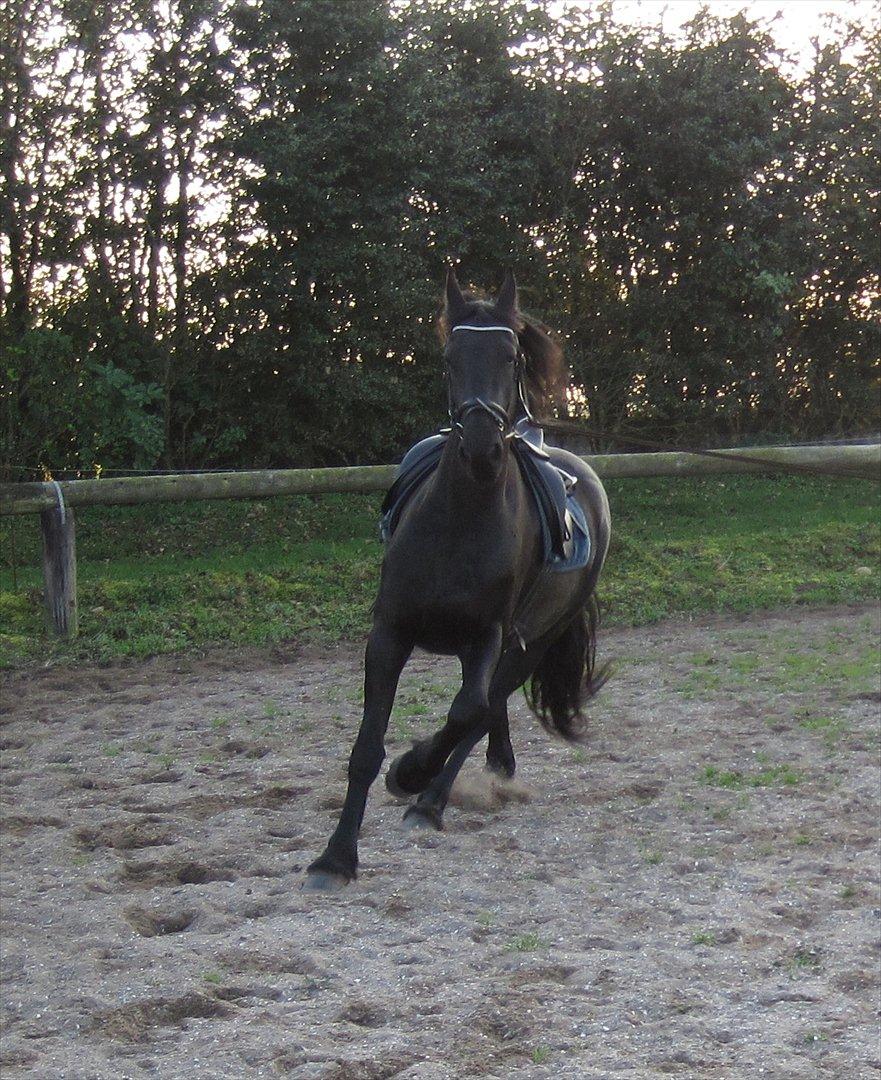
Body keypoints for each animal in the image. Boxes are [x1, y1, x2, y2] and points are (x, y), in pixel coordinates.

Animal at [306, 267, 608, 885]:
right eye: (449, 357)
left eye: (511, 356)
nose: (482, 446)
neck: (460, 521)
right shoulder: (390, 633)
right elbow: (365, 747)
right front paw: (336, 856)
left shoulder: (488, 636)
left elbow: (463, 713)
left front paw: (410, 771)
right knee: (488, 713)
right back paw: (491, 768)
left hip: (530, 643)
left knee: (481, 709)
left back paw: (430, 801)